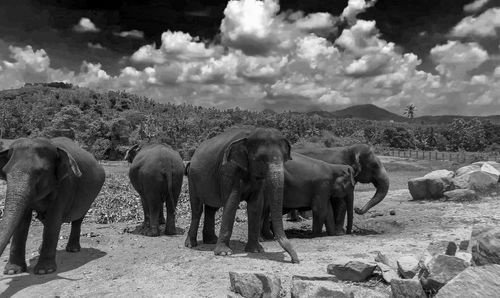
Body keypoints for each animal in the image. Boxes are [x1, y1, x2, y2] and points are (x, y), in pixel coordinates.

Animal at [0, 137, 104, 274]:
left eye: (40, 172)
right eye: (5, 172)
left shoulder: (65, 185)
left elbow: (53, 219)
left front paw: (44, 271)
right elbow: (23, 220)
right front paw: (12, 271)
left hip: (90, 197)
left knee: (78, 218)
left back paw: (73, 249)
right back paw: (40, 249)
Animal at [185, 127, 298, 262]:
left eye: (284, 159)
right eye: (261, 159)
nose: (295, 260)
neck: (250, 133)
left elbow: (256, 205)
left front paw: (256, 250)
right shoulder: (228, 169)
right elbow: (231, 202)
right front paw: (224, 253)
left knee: (211, 209)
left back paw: (211, 241)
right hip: (192, 179)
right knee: (197, 209)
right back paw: (191, 244)